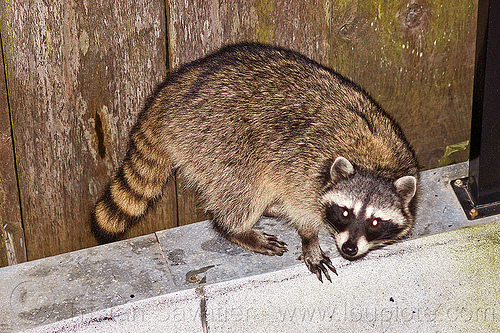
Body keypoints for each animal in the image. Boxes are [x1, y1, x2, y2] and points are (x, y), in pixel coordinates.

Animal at [91, 40, 418, 280]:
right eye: (346, 213)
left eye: (374, 221)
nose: (349, 249)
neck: (375, 164)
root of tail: (175, 88)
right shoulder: (303, 166)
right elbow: (301, 208)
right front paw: (310, 238)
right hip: (216, 135)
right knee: (243, 190)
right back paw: (235, 228)